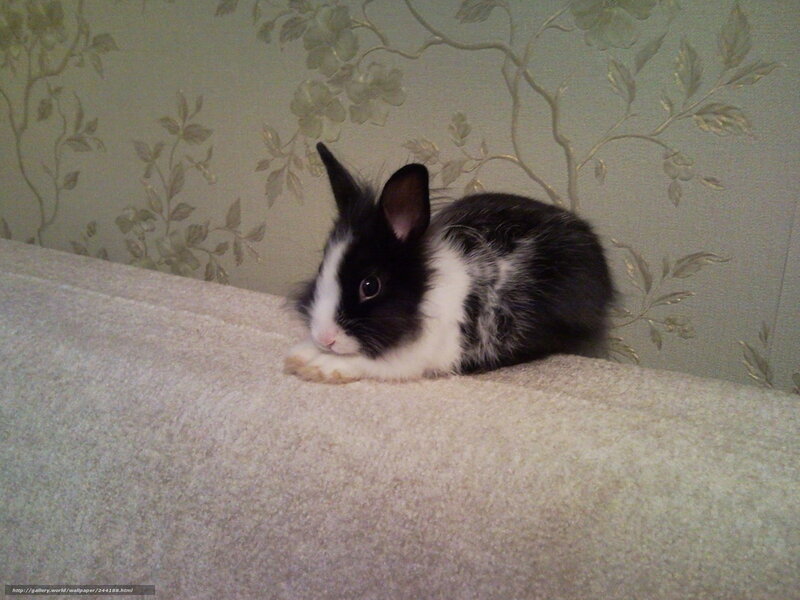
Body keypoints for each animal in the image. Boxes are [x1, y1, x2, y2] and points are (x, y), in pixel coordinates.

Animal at [284, 142, 614, 383]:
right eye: (321, 269)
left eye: (370, 286)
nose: (324, 338)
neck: (426, 293)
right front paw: (301, 354)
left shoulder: (423, 354)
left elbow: (378, 363)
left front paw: (317, 365)